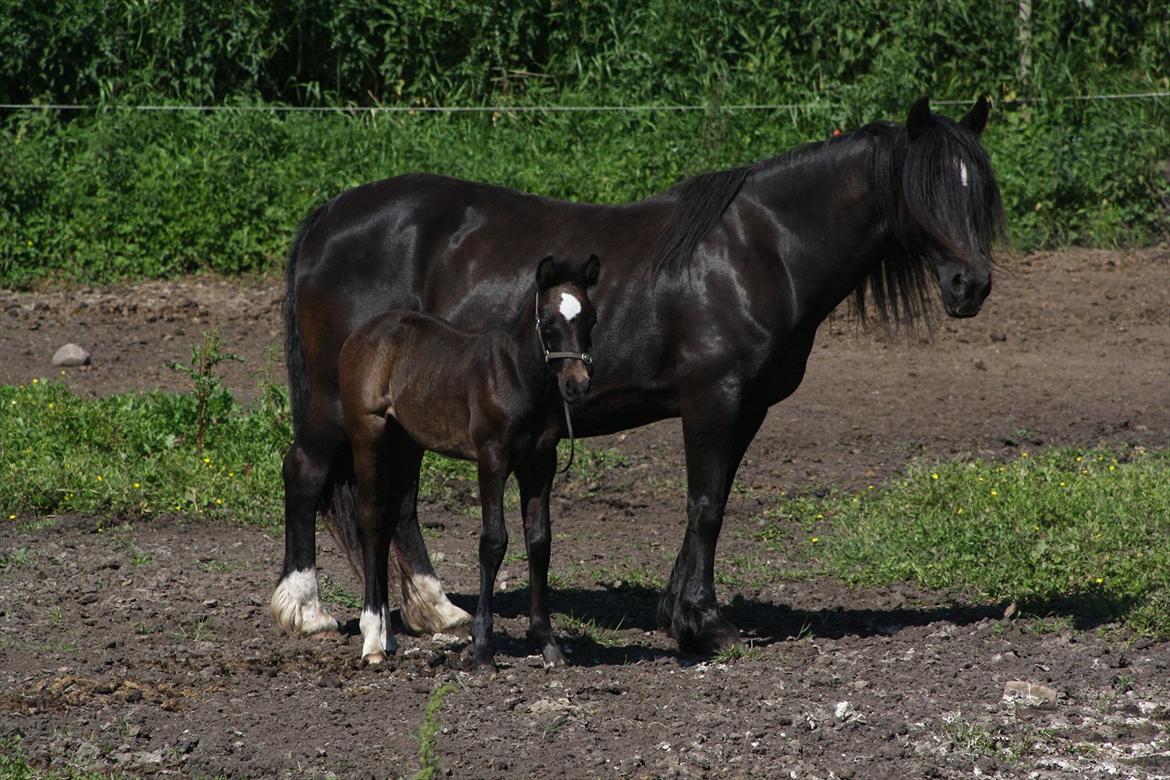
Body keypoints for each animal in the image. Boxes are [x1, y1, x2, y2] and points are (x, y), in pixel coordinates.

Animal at [271, 97, 1006, 654]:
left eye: (979, 192)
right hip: (339, 403)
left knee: (398, 502)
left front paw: (680, 614)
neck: (760, 248)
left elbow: (710, 504)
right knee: (306, 474)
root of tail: (331, 215)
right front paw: (706, 624)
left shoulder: (746, 408)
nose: (970, 286)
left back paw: (435, 610)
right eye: (926, 191)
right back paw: (306, 609)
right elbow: (705, 505)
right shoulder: (714, 398)